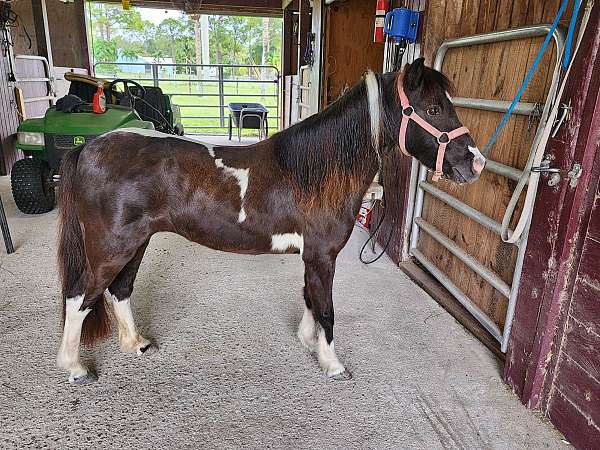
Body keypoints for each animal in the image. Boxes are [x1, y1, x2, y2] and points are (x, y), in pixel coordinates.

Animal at [57, 59, 488, 384]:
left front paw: (308, 342)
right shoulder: (323, 255)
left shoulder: (313, 256)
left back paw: (136, 345)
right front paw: (333, 364)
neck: (316, 170)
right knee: (80, 297)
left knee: (119, 290)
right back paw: (75, 368)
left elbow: (311, 298)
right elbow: (327, 309)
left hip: (136, 242)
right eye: (433, 110)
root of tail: (89, 149)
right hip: (111, 247)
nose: (476, 163)